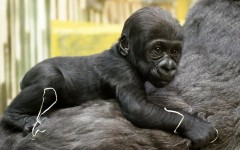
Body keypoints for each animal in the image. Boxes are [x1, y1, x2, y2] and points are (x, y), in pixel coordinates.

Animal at [0, 0, 239, 150]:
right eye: (157, 50)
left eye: (174, 51)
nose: (168, 67)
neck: (126, 56)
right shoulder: (125, 73)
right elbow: (138, 109)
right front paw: (197, 127)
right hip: (38, 73)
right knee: (51, 79)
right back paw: (15, 116)